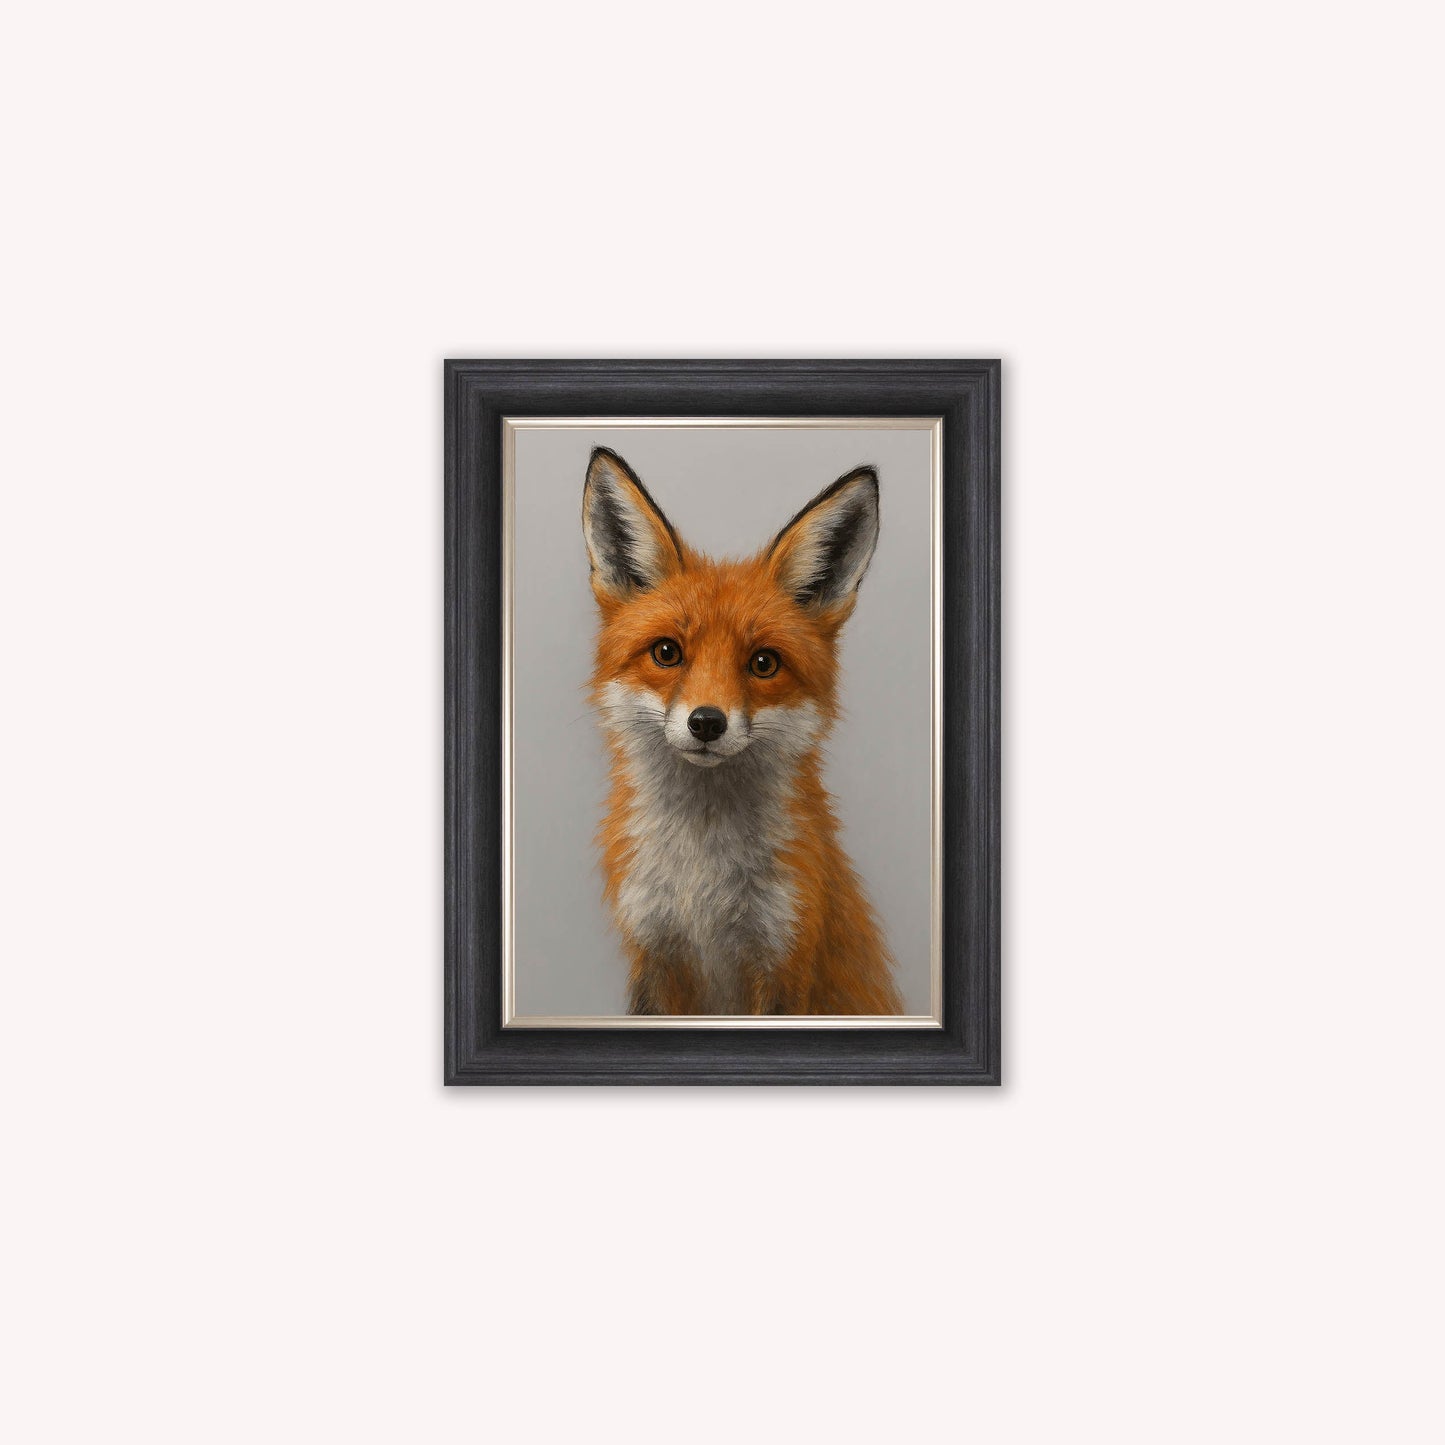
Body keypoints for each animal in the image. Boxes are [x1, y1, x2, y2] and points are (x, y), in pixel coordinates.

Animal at [582, 446, 903, 1016]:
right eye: (667, 652)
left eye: (763, 663)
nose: (707, 722)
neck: (701, 883)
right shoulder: (653, 950)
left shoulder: (784, 957)